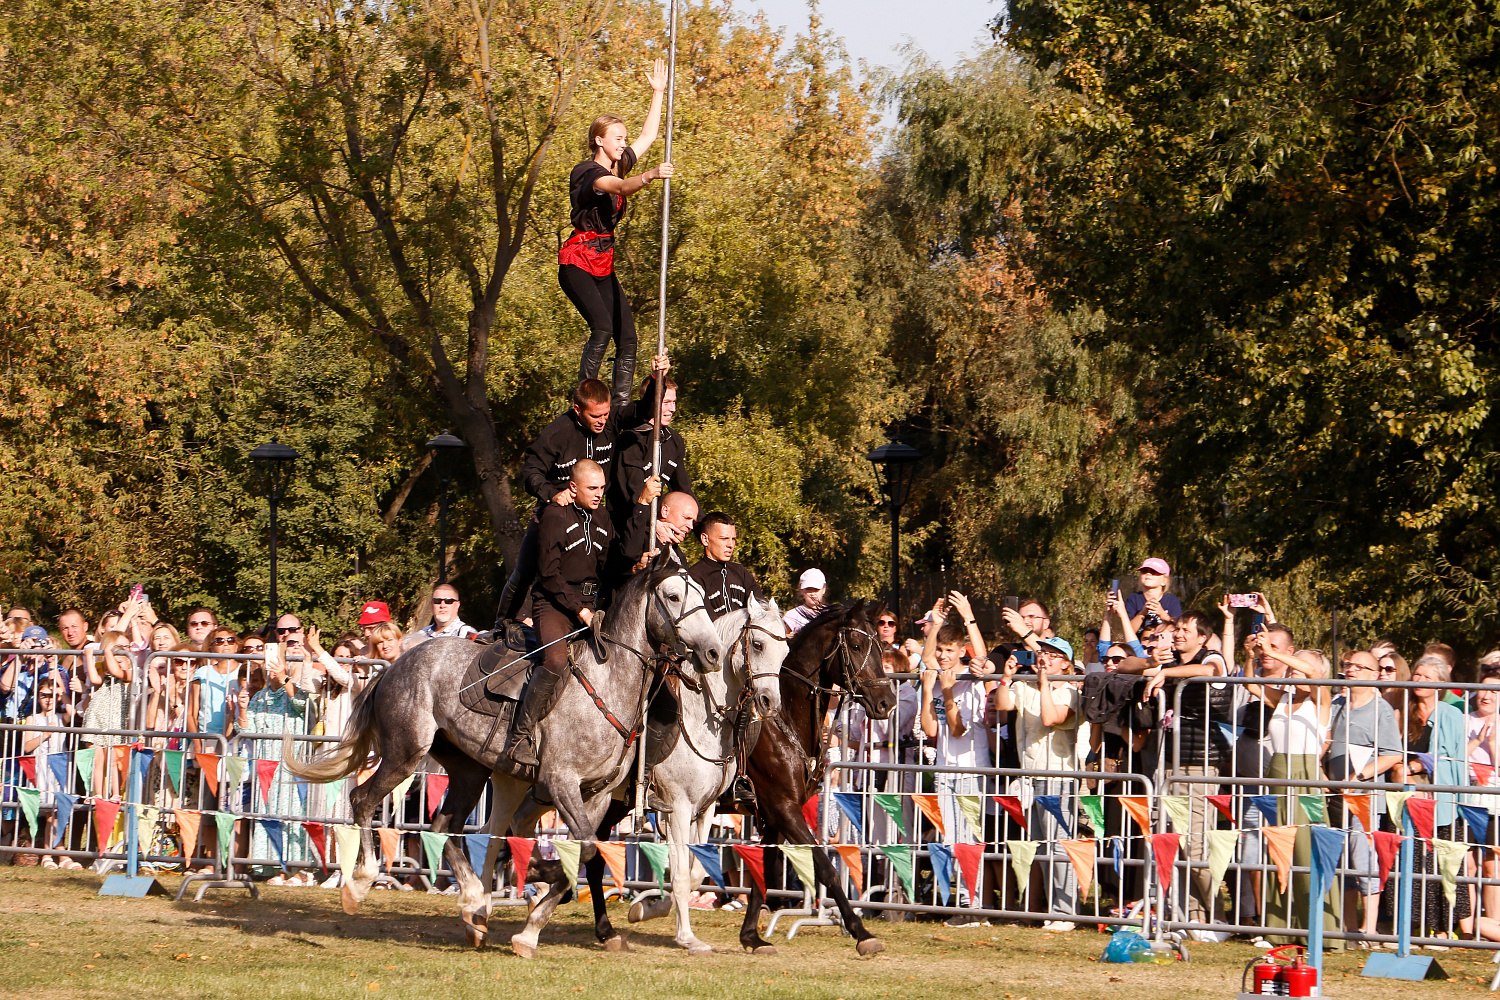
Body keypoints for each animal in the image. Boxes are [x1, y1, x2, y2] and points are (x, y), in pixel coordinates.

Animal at [288, 554, 726, 953]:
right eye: (673, 596)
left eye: (704, 596)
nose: (713, 653)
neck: (608, 681)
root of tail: (393, 666)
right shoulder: (560, 782)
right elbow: (582, 851)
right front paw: (534, 902)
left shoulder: (598, 795)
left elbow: (582, 854)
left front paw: (531, 922)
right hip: (405, 754)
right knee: (364, 800)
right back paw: (361, 885)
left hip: (469, 770)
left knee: (445, 826)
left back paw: (472, 901)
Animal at [735, 599, 894, 959]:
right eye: (856, 646)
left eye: (881, 647)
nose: (887, 703)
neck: (782, 719)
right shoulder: (785, 809)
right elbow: (827, 868)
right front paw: (861, 932)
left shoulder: (775, 815)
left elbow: (763, 872)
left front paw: (751, 936)